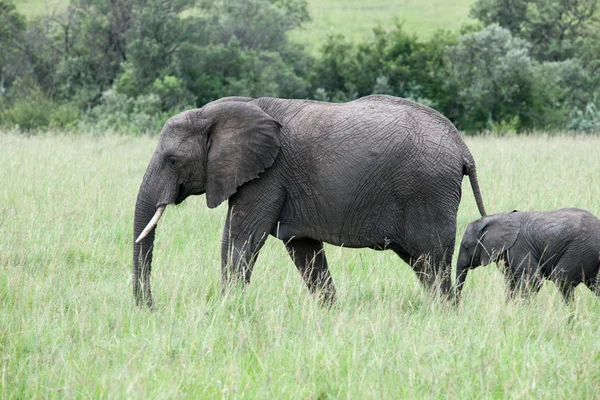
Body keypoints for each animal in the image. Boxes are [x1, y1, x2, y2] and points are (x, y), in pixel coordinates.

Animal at [132, 95, 488, 308]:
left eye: (172, 161)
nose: (149, 307)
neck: (217, 112)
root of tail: (463, 148)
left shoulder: (267, 176)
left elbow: (240, 238)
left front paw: (227, 309)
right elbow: (303, 249)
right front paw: (329, 312)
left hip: (427, 191)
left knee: (433, 261)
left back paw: (444, 312)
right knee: (423, 265)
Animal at [458, 208, 596, 302]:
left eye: (466, 247)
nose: (456, 305)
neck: (497, 218)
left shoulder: (520, 247)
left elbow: (533, 279)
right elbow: (511, 281)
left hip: (580, 249)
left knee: (561, 279)